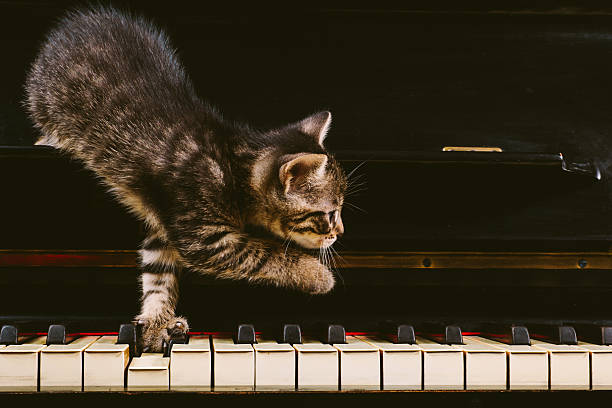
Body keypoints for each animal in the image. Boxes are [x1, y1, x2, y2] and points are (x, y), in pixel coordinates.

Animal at [26, 5, 346, 350]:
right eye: (330, 213)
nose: (339, 232)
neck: (233, 164)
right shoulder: (204, 238)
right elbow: (262, 254)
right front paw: (317, 275)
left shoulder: (163, 228)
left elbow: (157, 273)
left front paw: (157, 321)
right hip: (43, 102)